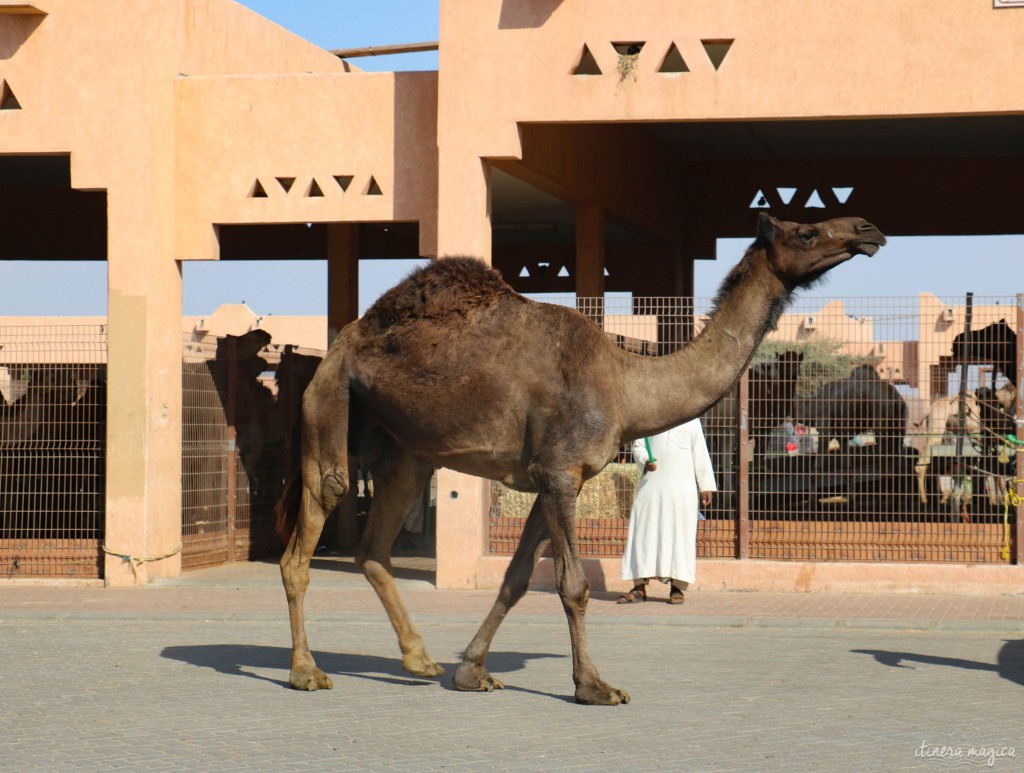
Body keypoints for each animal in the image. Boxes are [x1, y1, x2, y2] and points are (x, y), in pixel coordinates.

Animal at [276, 212, 884, 708]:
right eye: (806, 231)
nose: (868, 229)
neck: (625, 383)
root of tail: (340, 342)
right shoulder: (560, 472)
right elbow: (572, 585)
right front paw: (594, 686)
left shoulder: (553, 476)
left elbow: (517, 578)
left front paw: (471, 671)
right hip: (330, 403)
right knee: (313, 524)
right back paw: (306, 672)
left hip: (403, 449)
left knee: (375, 550)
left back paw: (420, 659)